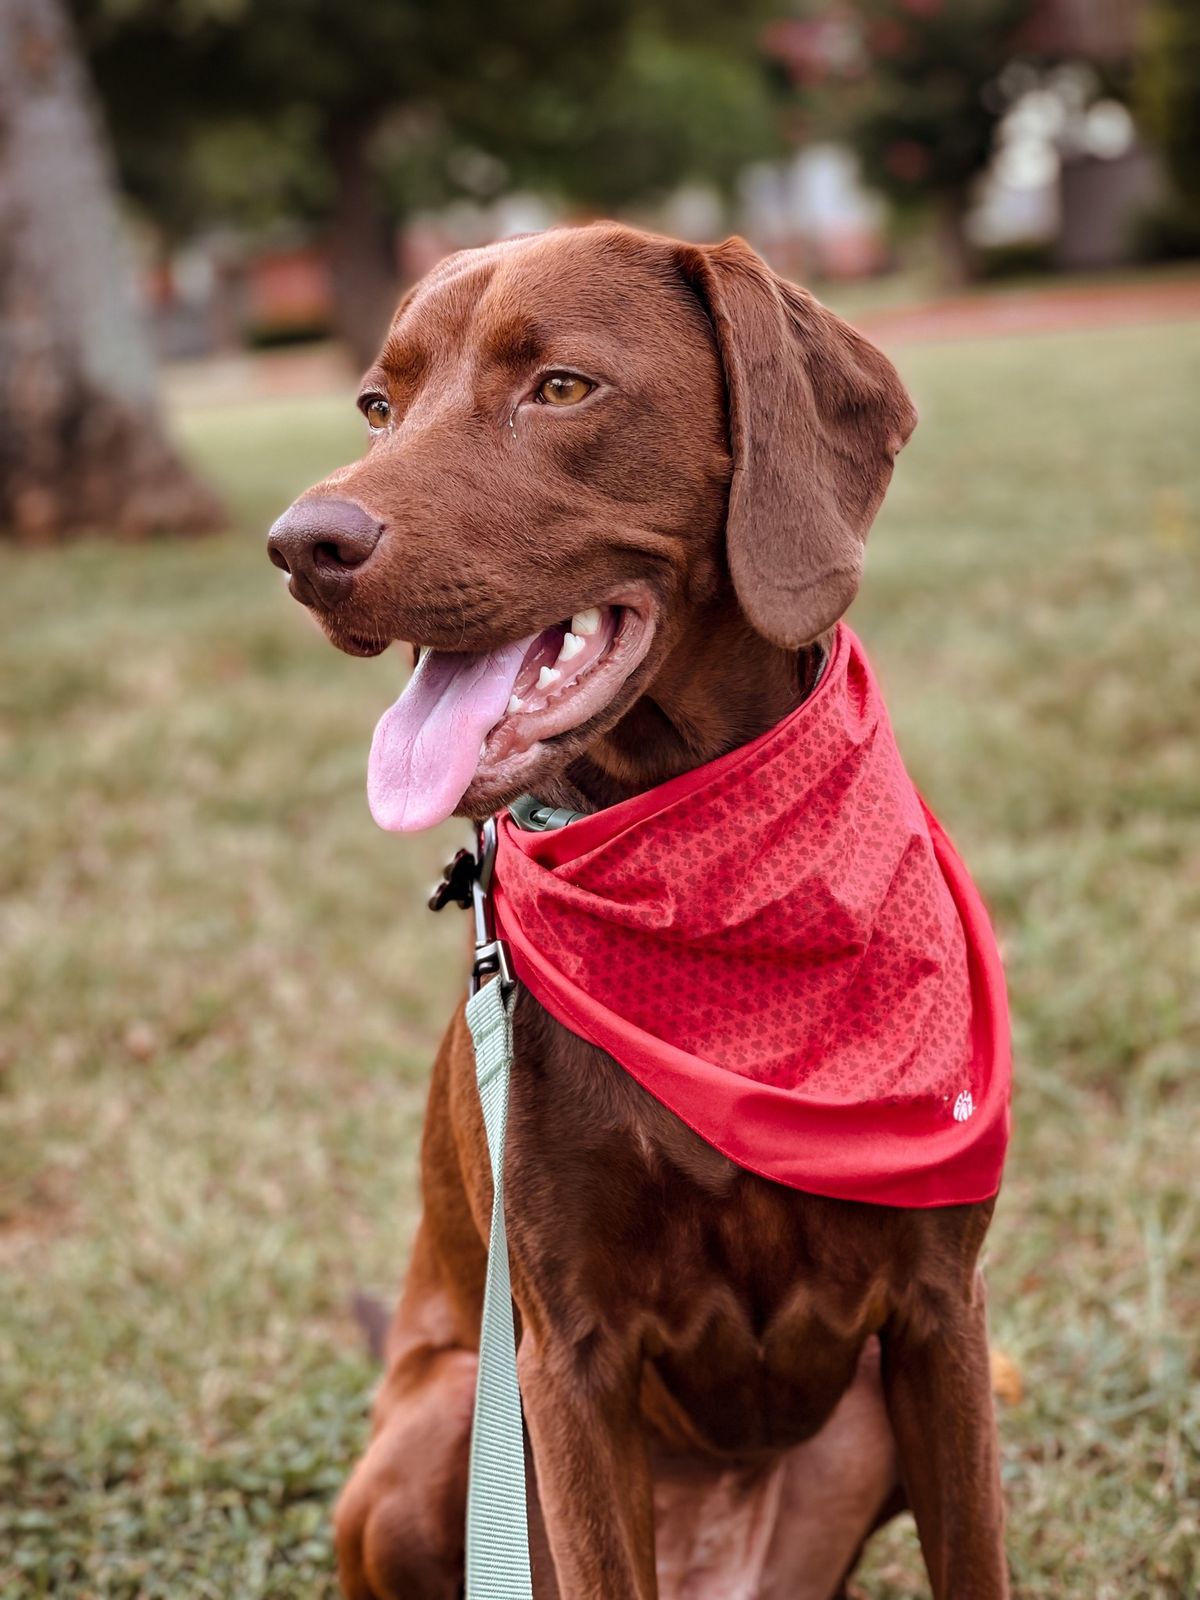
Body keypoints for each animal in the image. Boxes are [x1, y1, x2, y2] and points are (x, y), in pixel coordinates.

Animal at [267, 225, 1011, 1600]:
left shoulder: (945, 1320)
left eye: (562, 388)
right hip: (445, 1421)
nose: (301, 545)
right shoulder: (568, 1357)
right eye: (377, 405)